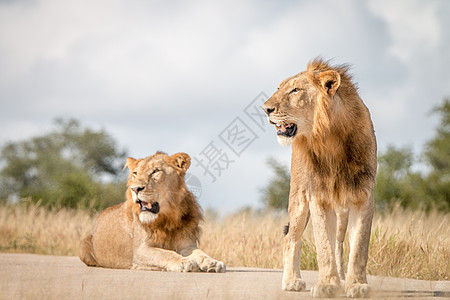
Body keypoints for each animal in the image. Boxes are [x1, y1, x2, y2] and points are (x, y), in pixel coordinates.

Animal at [80, 151, 225, 274]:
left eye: (155, 171)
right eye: (135, 173)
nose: (135, 189)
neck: (169, 217)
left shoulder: (187, 244)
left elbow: (200, 253)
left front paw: (213, 262)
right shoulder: (140, 251)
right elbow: (164, 253)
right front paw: (184, 262)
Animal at [264, 59, 376, 298]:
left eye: (295, 90)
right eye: (279, 88)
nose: (265, 109)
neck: (329, 138)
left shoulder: (363, 196)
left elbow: (359, 246)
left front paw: (356, 285)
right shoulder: (318, 197)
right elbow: (324, 246)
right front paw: (327, 285)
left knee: (339, 243)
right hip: (299, 199)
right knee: (291, 238)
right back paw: (292, 281)